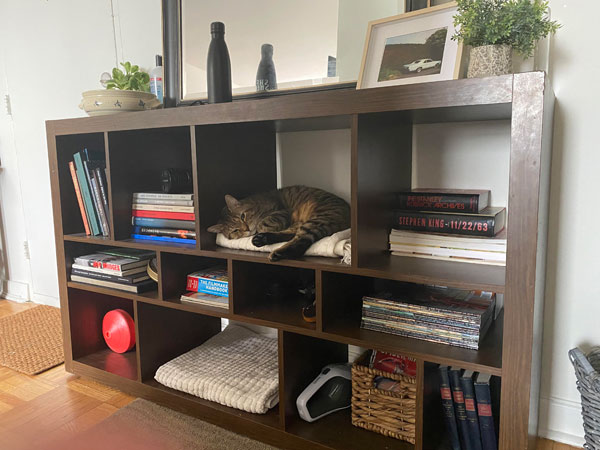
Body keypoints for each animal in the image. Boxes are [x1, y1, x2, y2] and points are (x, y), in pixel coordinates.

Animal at [206, 185, 350, 262]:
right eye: (234, 231)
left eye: (243, 216)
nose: (246, 229)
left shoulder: (282, 212)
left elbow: (262, 223)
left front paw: (259, 228)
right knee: (292, 235)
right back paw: (262, 239)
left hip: (318, 220)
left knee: (300, 241)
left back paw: (275, 250)